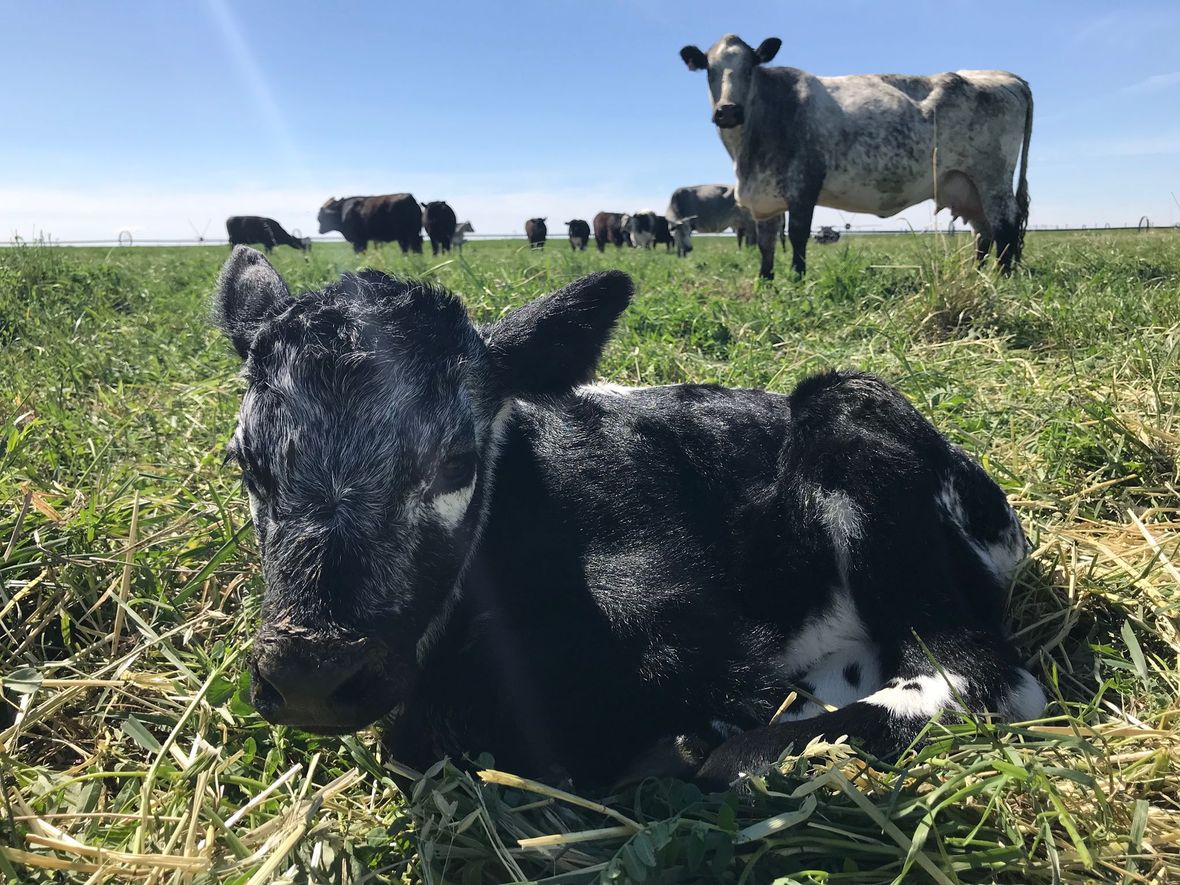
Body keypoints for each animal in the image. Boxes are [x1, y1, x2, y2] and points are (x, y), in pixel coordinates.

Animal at [217, 246, 1047, 792]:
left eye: (454, 462)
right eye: (246, 462)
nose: (313, 673)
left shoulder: (685, 615)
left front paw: (695, 742)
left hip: (852, 412)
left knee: (980, 671)